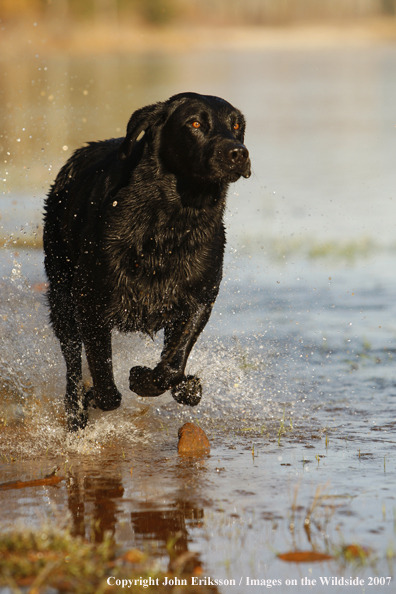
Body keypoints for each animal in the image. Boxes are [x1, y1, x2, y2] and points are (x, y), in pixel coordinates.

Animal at [43, 92, 251, 428]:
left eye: (236, 126)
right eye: (195, 124)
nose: (238, 153)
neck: (172, 221)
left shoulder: (200, 297)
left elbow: (173, 364)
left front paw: (156, 381)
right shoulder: (90, 301)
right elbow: (103, 378)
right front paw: (96, 395)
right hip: (61, 293)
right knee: (72, 364)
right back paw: (75, 413)